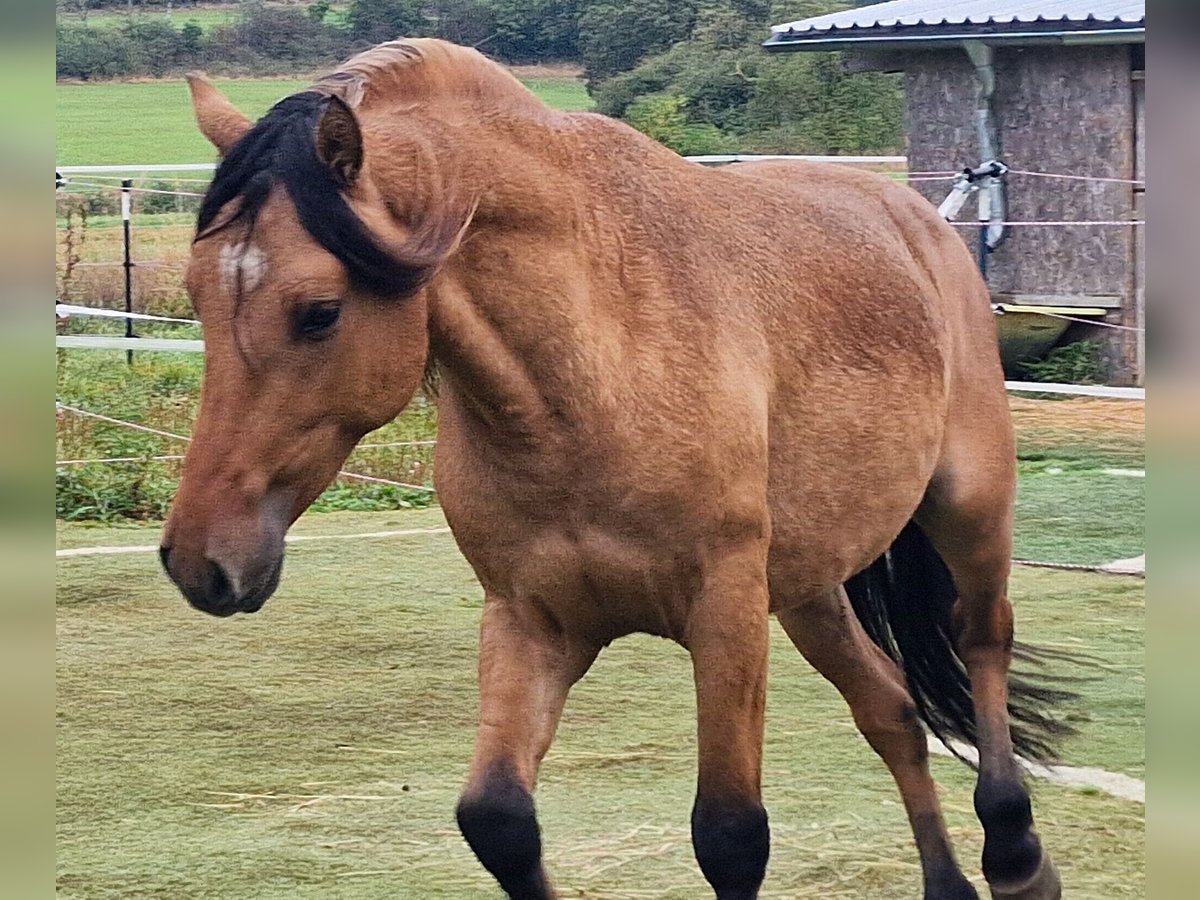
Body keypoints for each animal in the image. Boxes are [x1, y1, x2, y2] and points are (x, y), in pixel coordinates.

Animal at [159, 38, 1070, 900]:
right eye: (197, 293)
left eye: (319, 313)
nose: (198, 561)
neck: (592, 371)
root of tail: (915, 215)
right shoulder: (533, 616)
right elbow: (497, 820)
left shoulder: (723, 610)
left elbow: (731, 835)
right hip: (809, 587)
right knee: (891, 711)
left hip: (969, 510)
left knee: (981, 638)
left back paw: (1017, 853)